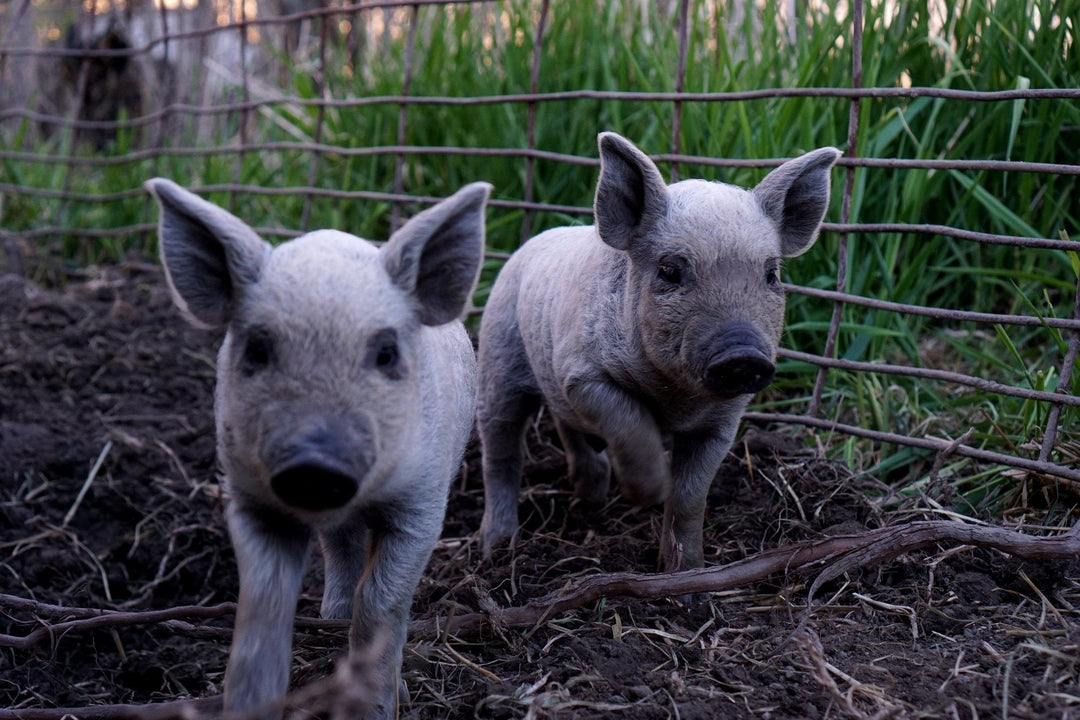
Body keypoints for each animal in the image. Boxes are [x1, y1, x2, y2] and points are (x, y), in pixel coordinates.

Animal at [146, 178, 490, 719]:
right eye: (258, 349)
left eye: (386, 353)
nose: (313, 462)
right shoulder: (249, 499)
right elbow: (263, 604)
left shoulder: (423, 502)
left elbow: (381, 602)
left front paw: (381, 709)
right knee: (341, 550)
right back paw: (330, 620)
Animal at [477, 132, 839, 573]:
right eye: (670, 271)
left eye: (771, 275)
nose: (742, 354)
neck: (675, 401)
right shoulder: (581, 373)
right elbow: (629, 419)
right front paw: (649, 492)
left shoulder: (724, 420)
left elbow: (690, 496)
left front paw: (688, 571)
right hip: (498, 356)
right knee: (500, 450)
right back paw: (495, 547)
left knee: (565, 426)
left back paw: (592, 496)